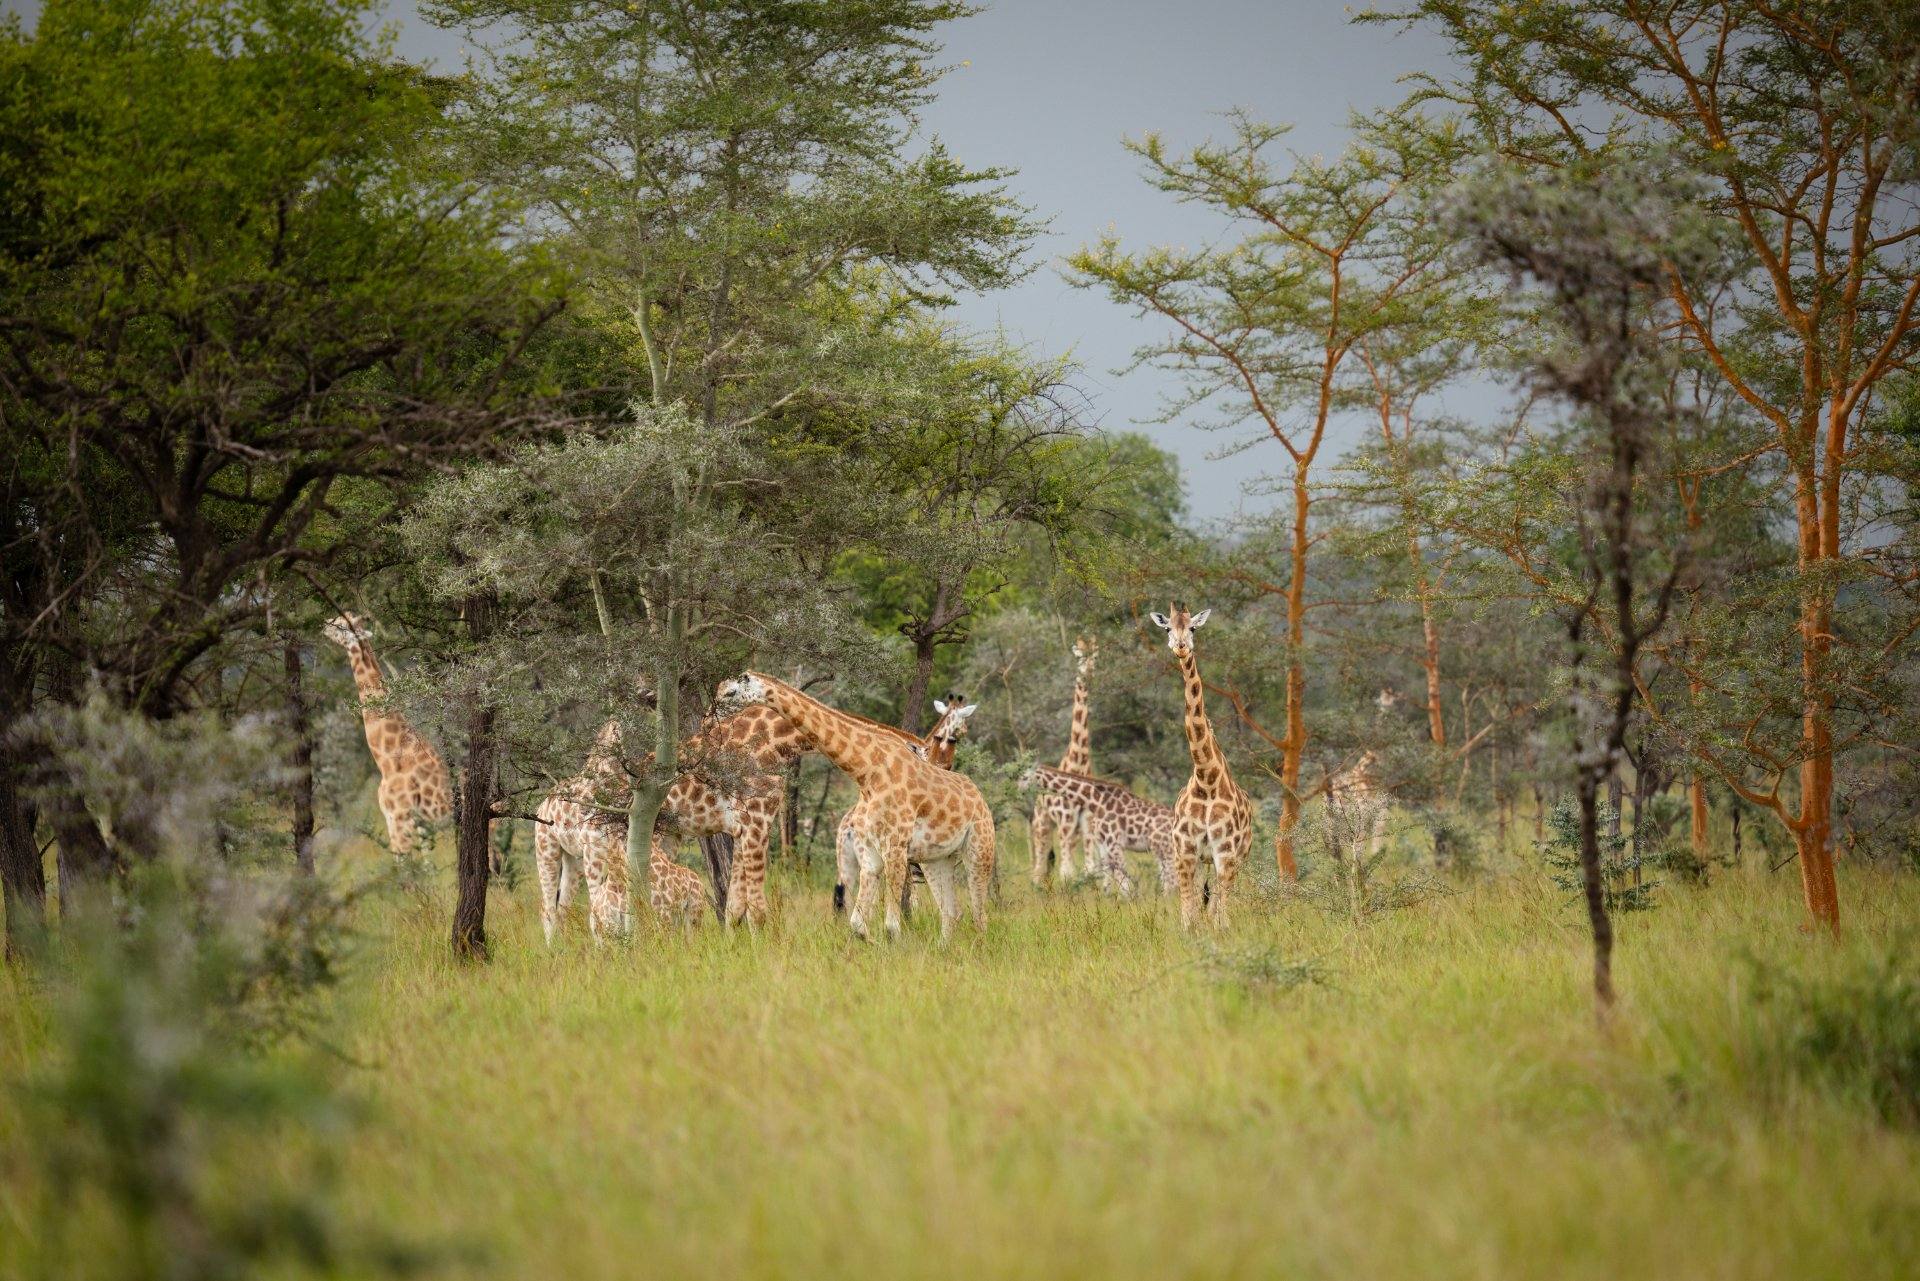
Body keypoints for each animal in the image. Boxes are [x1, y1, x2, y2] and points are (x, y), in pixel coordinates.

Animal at [1018, 763, 1178, 897]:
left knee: (1173, 879)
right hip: (1160, 850)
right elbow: (1107, 875)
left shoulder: (1114, 843)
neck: (1095, 801)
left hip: (1167, 849)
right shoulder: (1103, 843)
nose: (1018, 790)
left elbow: (1121, 878)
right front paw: (1107, 900)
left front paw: (1128, 902)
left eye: (1025, 777)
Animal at [1029, 636, 1099, 887]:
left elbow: (1089, 871)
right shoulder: (1065, 822)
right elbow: (1067, 874)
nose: (1088, 672)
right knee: (1039, 868)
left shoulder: (1087, 824)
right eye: (1079, 656)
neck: (1079, 764)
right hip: (1042, 825)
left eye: (1095, 655)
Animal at [1150, 604, 1252, 929]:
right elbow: (1189, 916)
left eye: (1193, 627)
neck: (1207, 777)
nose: (1181, 647)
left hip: (1238, 857)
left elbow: (1220, 916)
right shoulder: (1185, 851)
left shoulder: (1225, 852)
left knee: (1220, 903)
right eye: (1167, 628)